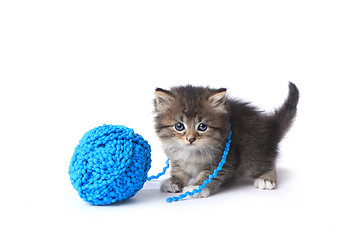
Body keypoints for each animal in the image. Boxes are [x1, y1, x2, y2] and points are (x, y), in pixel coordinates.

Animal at [154, 82, 298, 199]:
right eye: (179, 126)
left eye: (202, 126)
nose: (191, 139)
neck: (192, 151)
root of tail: (271, 126)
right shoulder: (177, 158)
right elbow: (179, 171)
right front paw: (173, 181)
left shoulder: (224, 159)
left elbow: (209, 175)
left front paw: (197, 188)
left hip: (253, 155)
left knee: (268, 165)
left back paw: (266, 179)